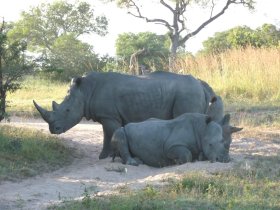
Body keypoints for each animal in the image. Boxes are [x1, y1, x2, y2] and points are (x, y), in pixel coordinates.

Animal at [34, 71, 224, 158]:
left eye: (67, 111)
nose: (53, 130)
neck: (85, 92)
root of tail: (200, 84)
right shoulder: (109, 115)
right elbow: (108, 134)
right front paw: (107, 156)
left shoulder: (109, 116)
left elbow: (108, 134)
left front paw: (105, 156)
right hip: (189, 92)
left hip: (187, 93)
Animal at [111, 113, 243, 167]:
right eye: (210, 144)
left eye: (224, 142)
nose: (225, 160)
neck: (202, 129)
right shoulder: (170, 147)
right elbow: (186, 154)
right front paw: (177, 162)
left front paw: (200, 157)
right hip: (121, 130)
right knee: (120, 133)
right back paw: (134, 163)